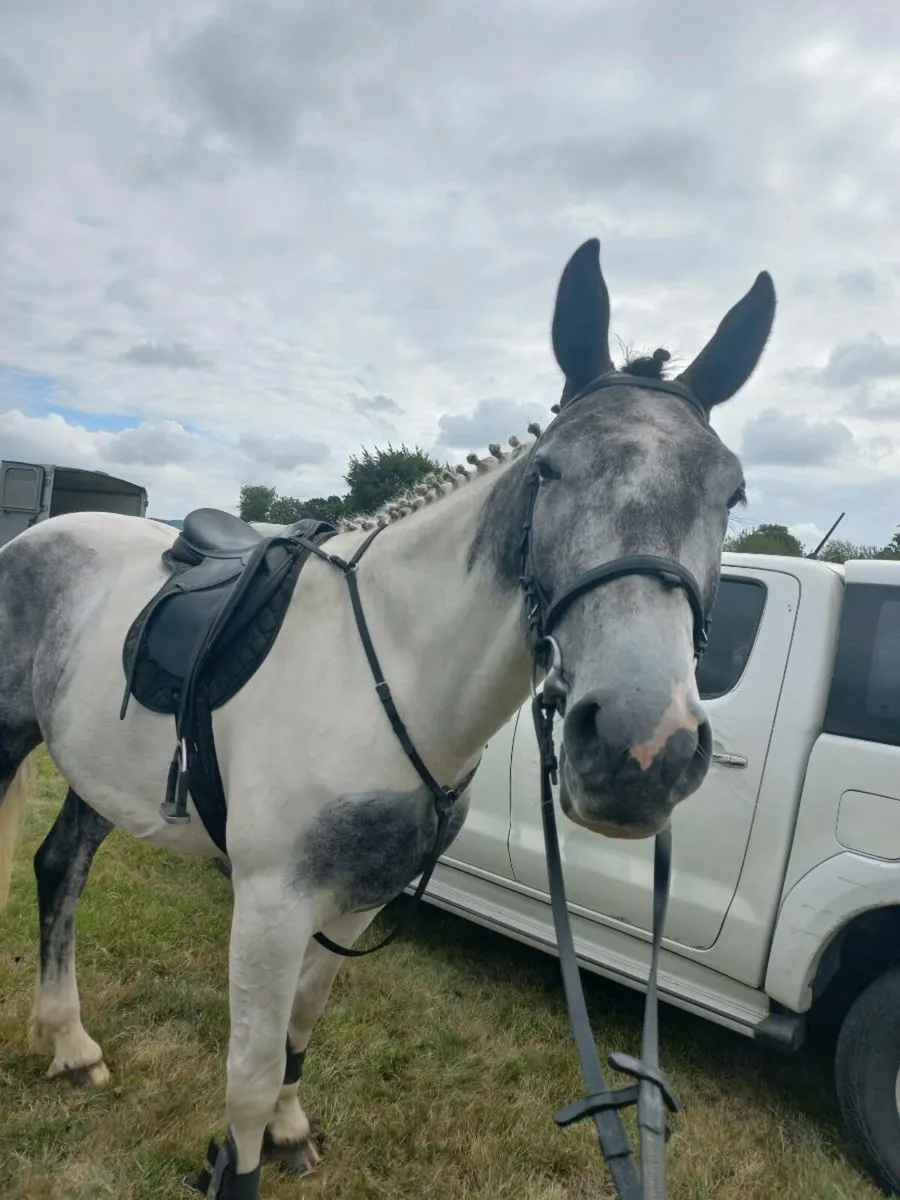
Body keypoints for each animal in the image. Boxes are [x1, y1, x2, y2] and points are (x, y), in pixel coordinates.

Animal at [0, 238, 776, 1198]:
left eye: (732, 495)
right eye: (549, 468)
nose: (644, 748)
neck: (386, 675)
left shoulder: (355, 900)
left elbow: (300, 1031)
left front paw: (288, 1133)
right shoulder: (270, 903)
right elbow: (249, 1074)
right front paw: (238, 1161)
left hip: (101, 775)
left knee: (61, 867)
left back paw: (71, 1045)